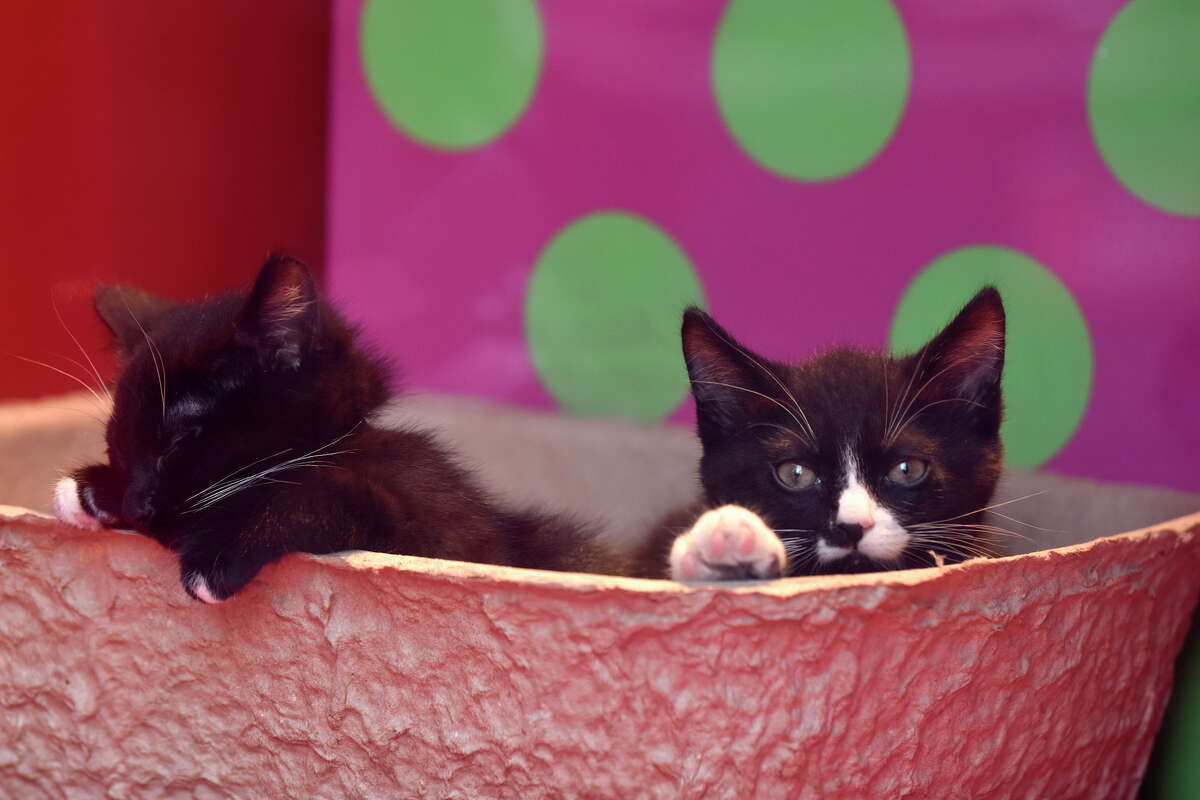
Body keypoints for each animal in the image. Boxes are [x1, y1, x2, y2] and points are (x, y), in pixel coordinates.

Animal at [54, 255, 628, 599]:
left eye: (180, 439)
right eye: (118, 444)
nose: (136, 505)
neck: (339, 442)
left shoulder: (445, 535)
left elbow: (327, 492)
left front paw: (219, 552)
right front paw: (90, 489)